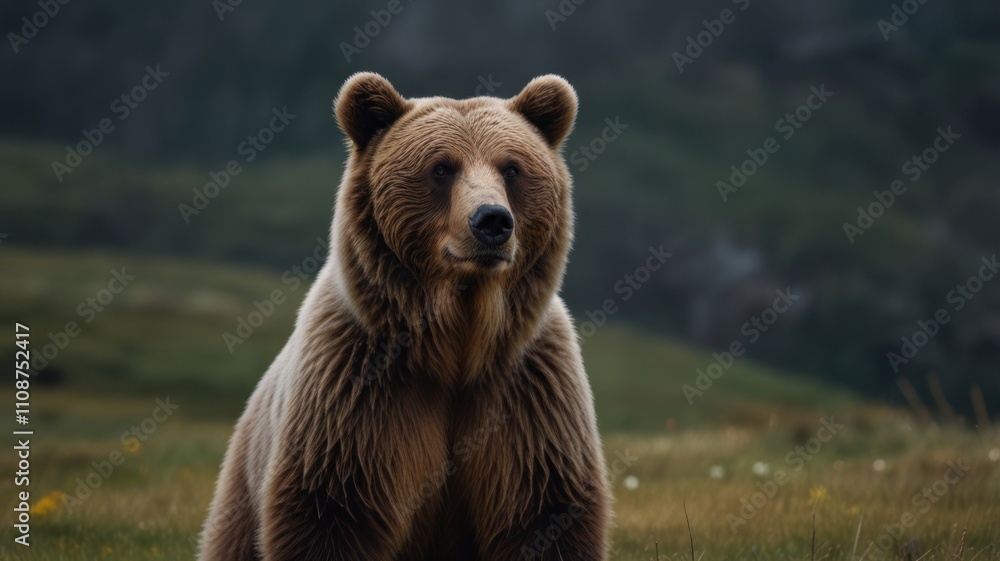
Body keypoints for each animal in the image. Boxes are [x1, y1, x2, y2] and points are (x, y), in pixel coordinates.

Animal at [198, 72, 611, 560]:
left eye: (511, 168)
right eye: (441, 168)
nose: (492, 221)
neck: (457, 345)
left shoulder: (528, 396)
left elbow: (545, 515)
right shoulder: (357, 395)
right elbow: (328, 515)